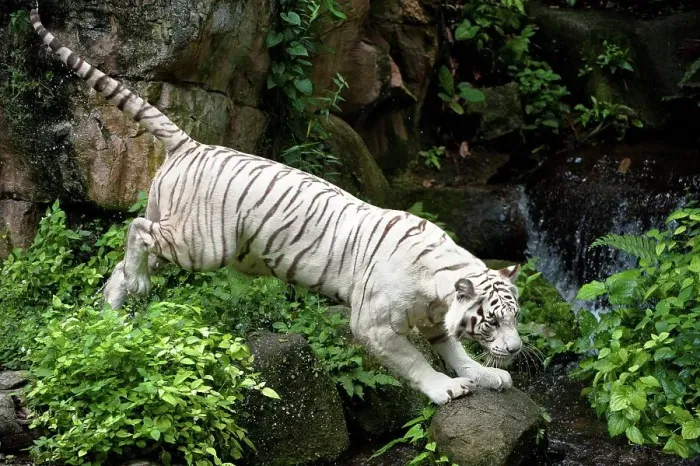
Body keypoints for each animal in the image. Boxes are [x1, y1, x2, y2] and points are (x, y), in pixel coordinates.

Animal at [30, 7, 523, 405]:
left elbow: (454, 349)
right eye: (491, 322)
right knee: (137, 229)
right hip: (204, 246)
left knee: (127, 255)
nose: (517, 349)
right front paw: (446, 389)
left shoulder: (437, 321)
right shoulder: (375, 324)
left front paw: (483, 375)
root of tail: (192, 143)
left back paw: (116, 305)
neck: (438, 285)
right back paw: (136, 285)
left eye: (516, 318)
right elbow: (414, 361)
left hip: (176, 225)